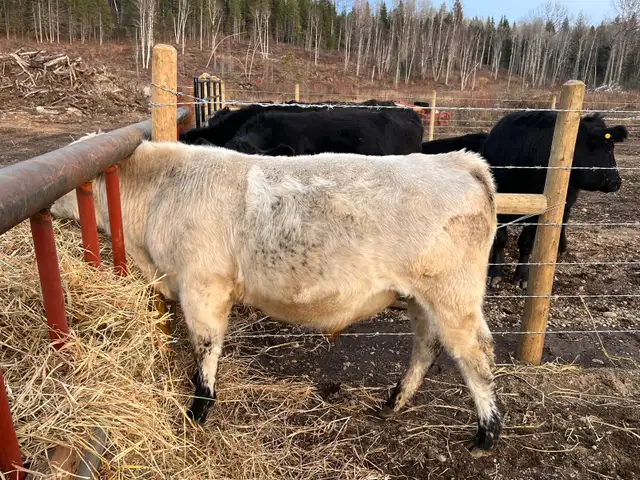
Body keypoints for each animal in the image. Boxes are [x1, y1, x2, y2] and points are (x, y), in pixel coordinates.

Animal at [50, 141, 502, 457]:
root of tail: (457, 161)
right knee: (426, 345)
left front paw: (198, 411)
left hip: (453, 295)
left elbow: (206, 348)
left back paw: (486, 434)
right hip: (420, 298)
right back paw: (394, 402)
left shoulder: (204, 287)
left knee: (476, 354)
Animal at [482, 111, 627, 288]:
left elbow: (526, 242)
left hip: (568, 198)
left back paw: (560, 248)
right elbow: (500, 239)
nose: (617, 181)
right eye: (608, 149)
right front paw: (494, 275)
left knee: (563, 220)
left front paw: (522, 277)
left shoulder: (539, 211)